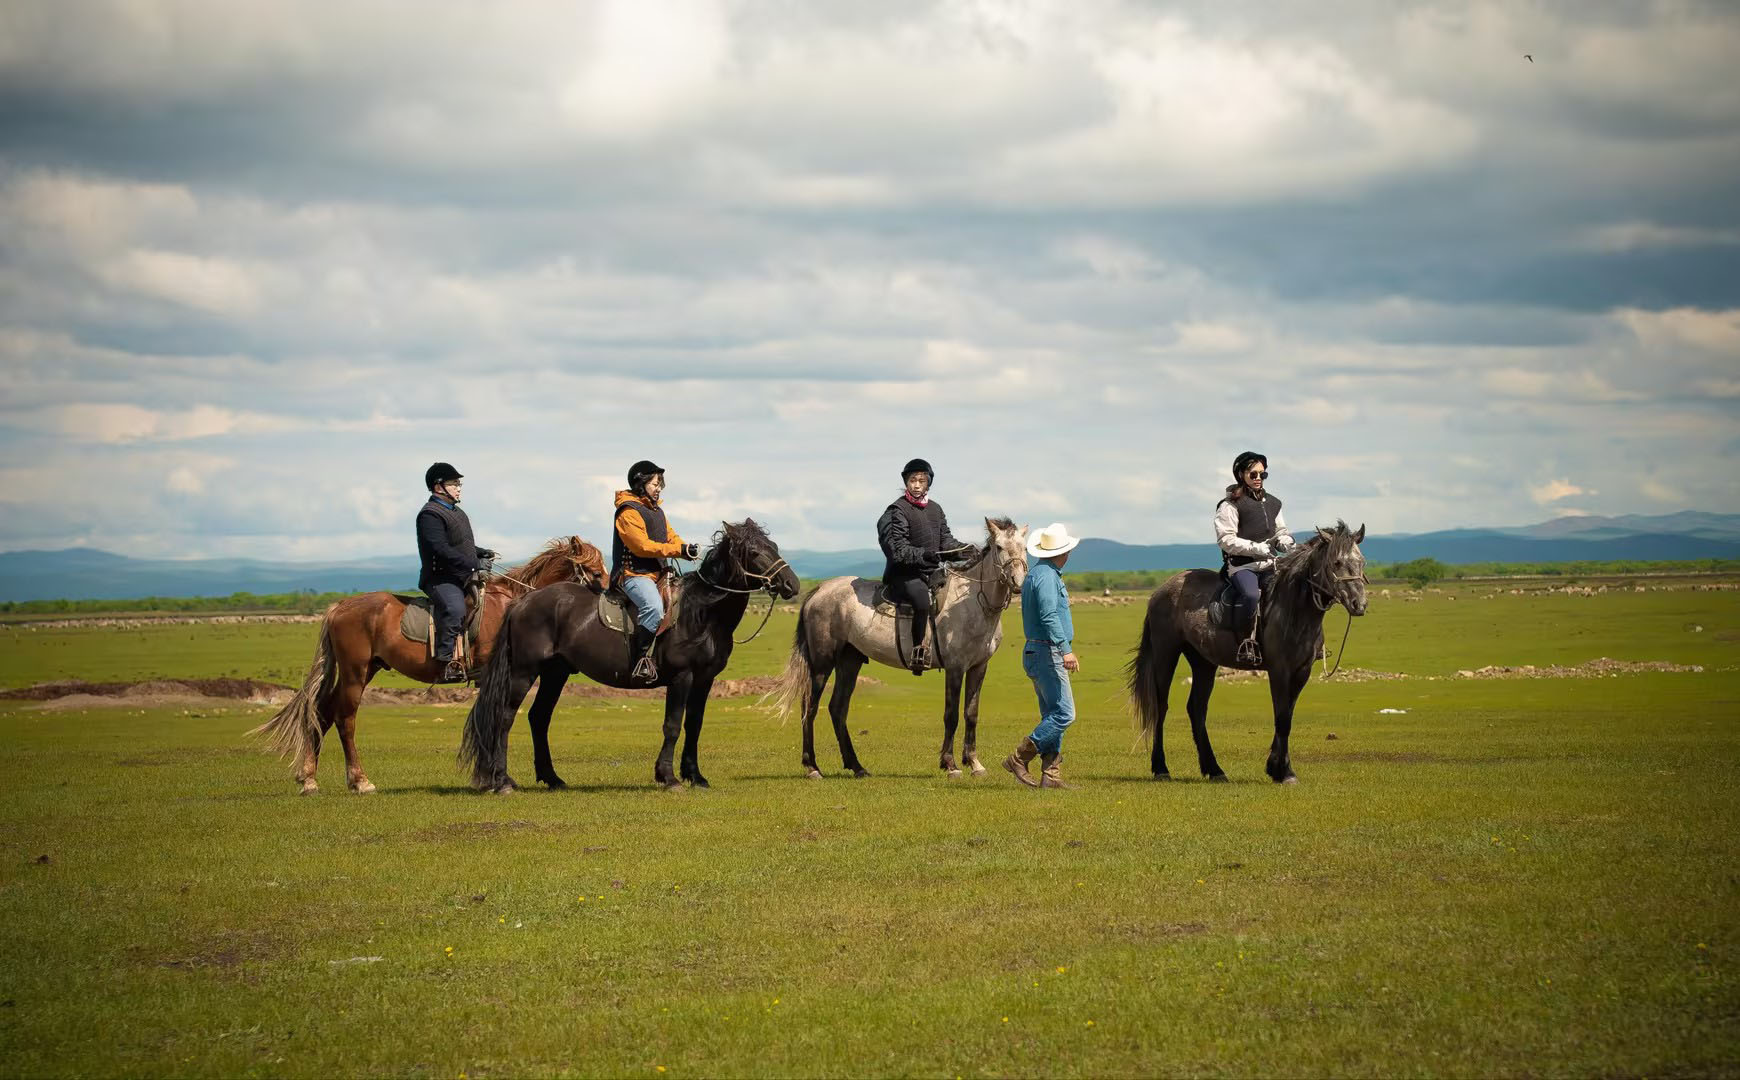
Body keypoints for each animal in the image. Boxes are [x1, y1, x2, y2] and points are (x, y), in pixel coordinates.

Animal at [252, 535, 605, 793]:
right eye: (597, 572)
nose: (609, 595)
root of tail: (340, 606)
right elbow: (489, 717)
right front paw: (488, 779)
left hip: (367, 669)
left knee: (322, 712)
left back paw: (309, 778)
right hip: (355, 672)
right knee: (344, 718)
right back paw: (359, 780)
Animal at [769, 514, 1023, 775]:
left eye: (1024, 547)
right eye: (999, 547)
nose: (1017, 581)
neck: (972, 603)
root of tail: (820, 589)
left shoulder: (978, 667)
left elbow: (971, 714)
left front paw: (974, 763)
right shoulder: (955, 668)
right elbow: (951, 715)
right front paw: (949, 763)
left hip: (849, 661)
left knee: (837, 709)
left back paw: (856, 766)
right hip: (822, 663)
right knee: (809, 705)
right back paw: (812, 766)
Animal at [1127, 518, 1371, 779]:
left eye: (1361, 562)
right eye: (1336, 562)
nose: (1359, 604)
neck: (1293, 608)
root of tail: (1160, 591)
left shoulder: (1301, 671)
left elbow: (1287, 715)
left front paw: (1276, 767)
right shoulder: (1279, 670)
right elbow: (1282, 718)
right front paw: (1283, 771)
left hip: (1203, 662)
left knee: (1197, 709)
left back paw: (1214, 770)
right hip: (1166, 654)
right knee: (1161, 707)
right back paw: (1161, 768)